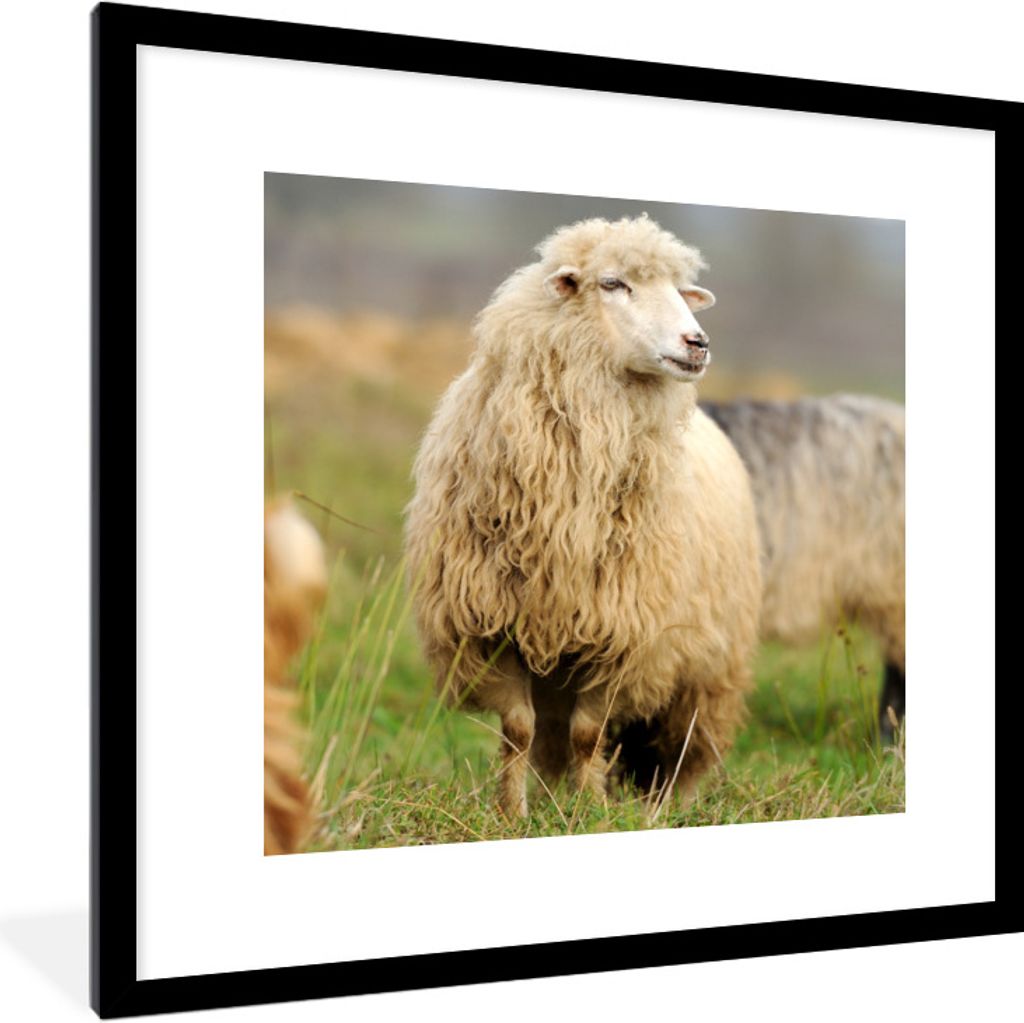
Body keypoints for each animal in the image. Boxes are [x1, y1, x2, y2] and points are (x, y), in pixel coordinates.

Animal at [404, 216, 762, 818]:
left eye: (680, 289)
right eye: (613, 283)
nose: (698, 343)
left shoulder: (625, 634)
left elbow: (589, 734)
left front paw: (590, 812)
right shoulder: (492, 626)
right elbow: (518, 731)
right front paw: (514, 814)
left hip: (709, 664)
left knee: (687, 746)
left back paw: (668, 807)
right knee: (551, 733)